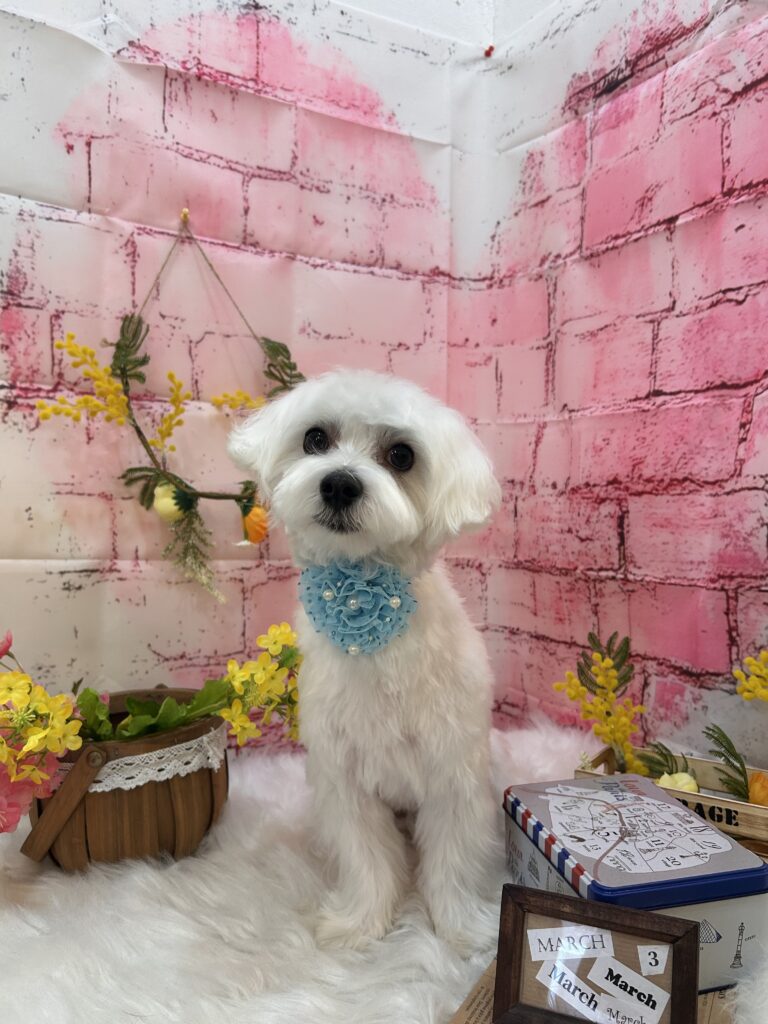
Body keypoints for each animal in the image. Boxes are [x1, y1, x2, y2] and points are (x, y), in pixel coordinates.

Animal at [228, 369, 501, 952]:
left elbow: (453, 861)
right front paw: (361, 925)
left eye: (401, 455)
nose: (339, 484)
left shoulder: (453, 775)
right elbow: (368, 860)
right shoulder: (345, 780)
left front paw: (462, 930)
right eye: (315, 439)